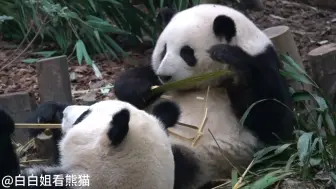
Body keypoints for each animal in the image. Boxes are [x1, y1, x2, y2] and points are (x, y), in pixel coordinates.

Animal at [114, 3, 296, 189]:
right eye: (163, 50)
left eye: (186, 52)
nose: (164, 75)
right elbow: (132, 87)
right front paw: (140, 89)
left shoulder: (264, 62)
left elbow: (276, 124)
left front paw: (229, 56)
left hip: (203, 159)